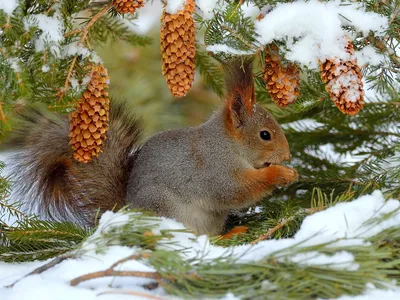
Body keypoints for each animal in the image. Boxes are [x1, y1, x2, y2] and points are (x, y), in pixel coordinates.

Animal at [9, 59, 298, 236]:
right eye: (265, 135)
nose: (287, 155)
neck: (228, 144)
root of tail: (126, 210)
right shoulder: (215, 170)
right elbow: (238, 190)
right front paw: (280, 174)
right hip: (166, 209)